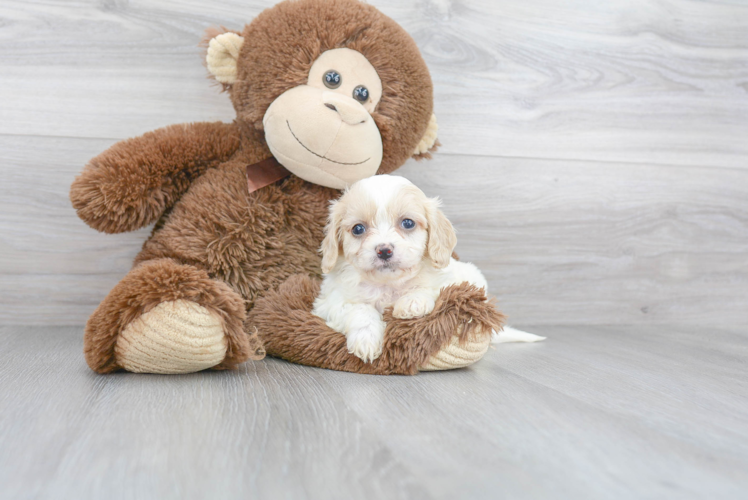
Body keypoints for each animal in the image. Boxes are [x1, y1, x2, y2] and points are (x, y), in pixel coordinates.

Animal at [312, 176, 490, 364]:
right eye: (358, 228)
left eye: (408, 223)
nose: (384, 250)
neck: (387, 283)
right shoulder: (330, 302)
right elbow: (360, 308)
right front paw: (366, 339)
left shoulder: (450, 280)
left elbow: (432, 288)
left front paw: (412, 302)